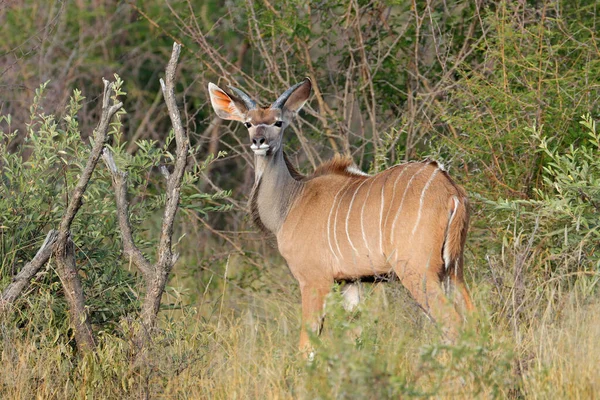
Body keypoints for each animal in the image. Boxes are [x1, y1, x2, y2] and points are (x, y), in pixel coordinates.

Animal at [209, 78, 476, 354]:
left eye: (278, 122)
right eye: (248, 123)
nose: (259, 141)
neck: (291, 200)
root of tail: (450, 190)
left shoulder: (314, 280)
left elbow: (308, 345)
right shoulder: (350, 282)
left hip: (418, 271)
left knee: (452, 324)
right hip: (454, 269)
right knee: (473, 317)